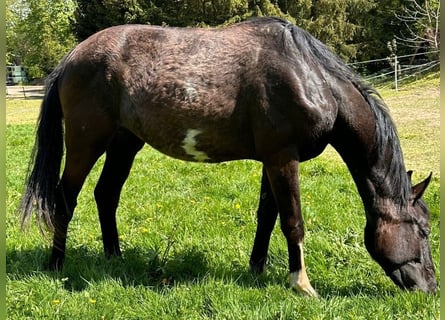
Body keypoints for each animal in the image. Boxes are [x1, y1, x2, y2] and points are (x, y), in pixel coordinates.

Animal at [19, 16, 436, 296]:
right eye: (423, 230)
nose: (430, 289)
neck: (310, 77)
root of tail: (73, 56)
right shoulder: (283, 157)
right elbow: (293, 221)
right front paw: (302, 285)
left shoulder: (272, 160)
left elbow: (267, 217)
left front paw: (257, 270)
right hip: (86, 143)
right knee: (64, 198)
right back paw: (56, 265)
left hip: (125, 143)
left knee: (106, 195)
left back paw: (114, 258)